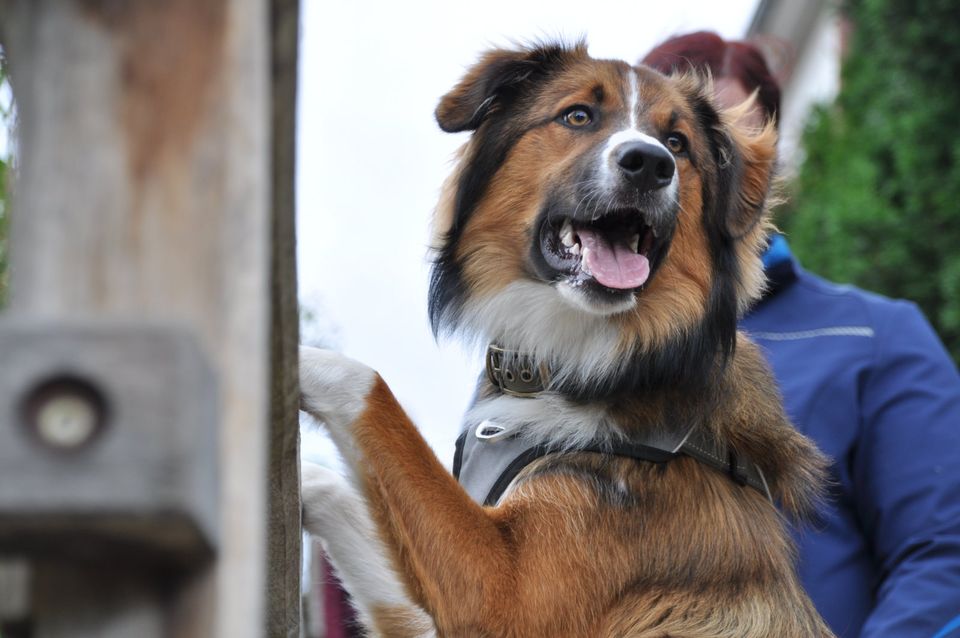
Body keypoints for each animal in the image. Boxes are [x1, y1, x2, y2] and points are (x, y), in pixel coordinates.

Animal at [300, 42, 832, 636]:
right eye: (578, 116)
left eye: (678, 143)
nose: (651, 163)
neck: (578, 361)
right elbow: (330, 489)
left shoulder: (505, 590)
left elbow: (364, 383)